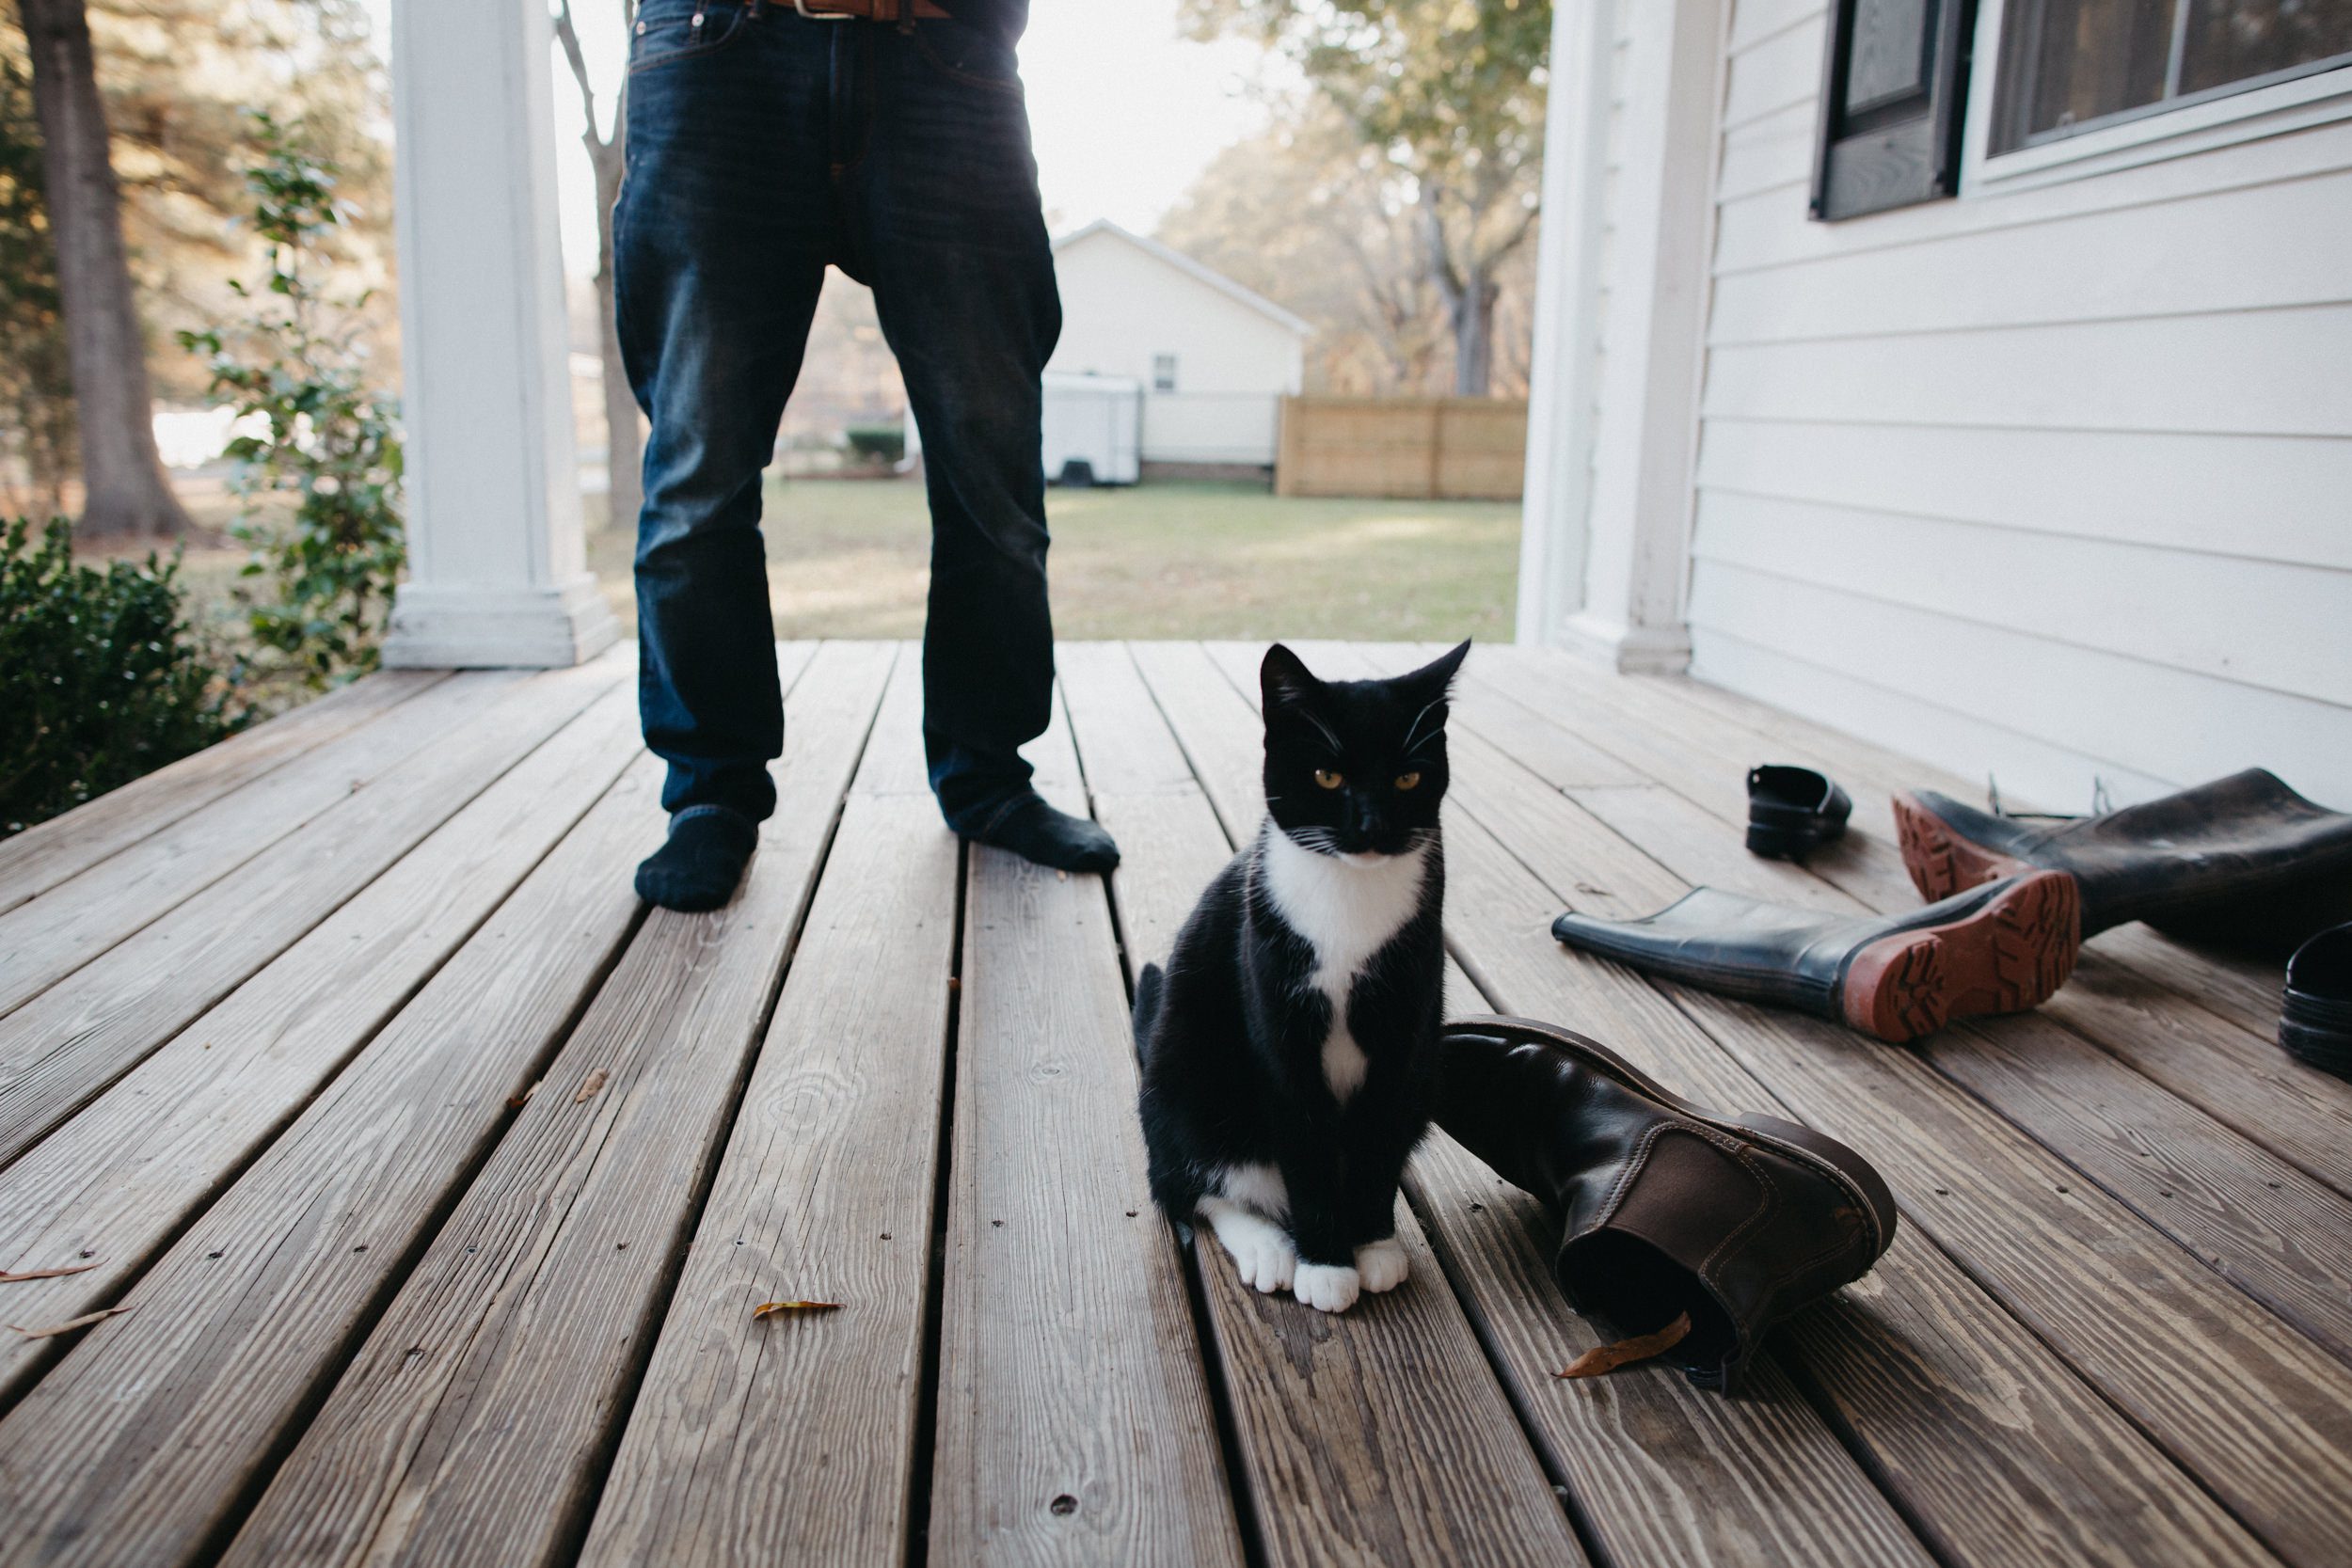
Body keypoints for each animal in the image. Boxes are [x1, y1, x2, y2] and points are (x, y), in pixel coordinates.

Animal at [1138, 639, 1468, 1316]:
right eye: (1327, 777)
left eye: (1407, 777)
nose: (1371, 826)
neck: (1348, 900)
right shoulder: (1280, 1035)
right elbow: (1305, 1144)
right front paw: (1325, 1263)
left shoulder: (1402, 1033)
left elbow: (1376, 1139)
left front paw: (1371, 1244)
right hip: (1184, 1080)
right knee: (1195, 1182)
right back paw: (1268, 1247)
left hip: (1428, 1078)